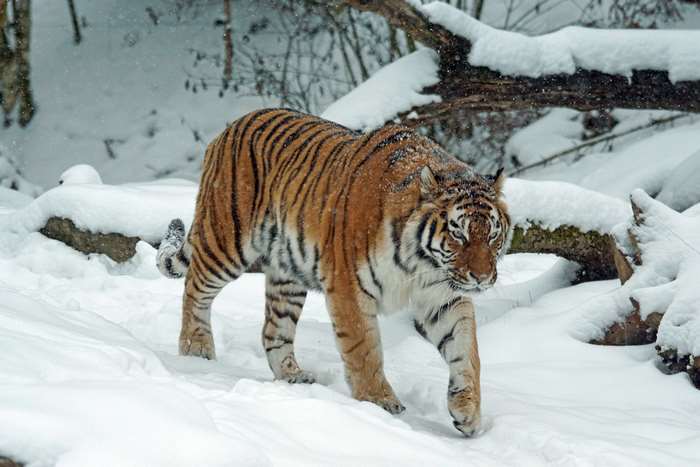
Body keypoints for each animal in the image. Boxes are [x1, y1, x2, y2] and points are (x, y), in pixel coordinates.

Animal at [156, 108, 511, 436]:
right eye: (458, 234)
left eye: (492, 234)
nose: (482, 278)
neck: (422, 264)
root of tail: (230, 127)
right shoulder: (349, 288)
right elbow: (364, 350)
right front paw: (379, 403)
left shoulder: (443, 296)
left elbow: (467, 350)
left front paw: (468, 411)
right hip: (227, 241)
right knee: (194, 288)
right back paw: (196, 350)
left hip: (287, 275)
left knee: (273, 330)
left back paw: (293, 377)